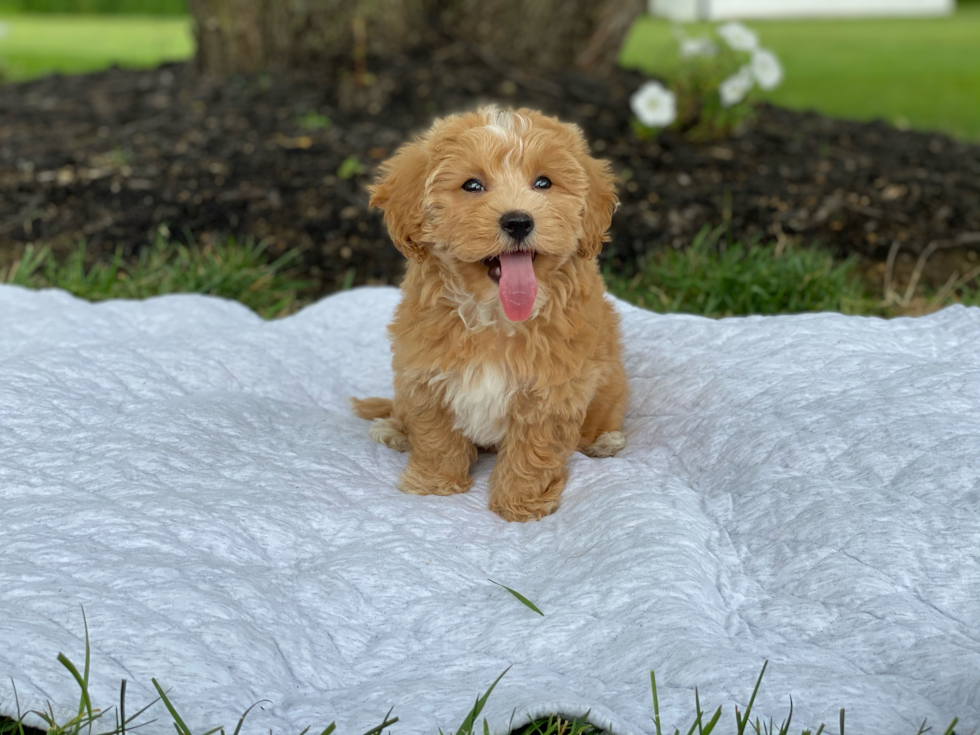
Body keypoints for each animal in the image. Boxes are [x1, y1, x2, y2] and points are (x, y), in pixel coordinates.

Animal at [352, 105, 628, 524]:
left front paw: (519, 504)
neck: (494, 313)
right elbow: (435, 434)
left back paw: (604, 441)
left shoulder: (552, 391)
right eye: (472, 185)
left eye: (543, 183)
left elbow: (534, 449)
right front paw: (434, 484)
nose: (518, 221)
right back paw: (395, 430)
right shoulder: (425, 373)